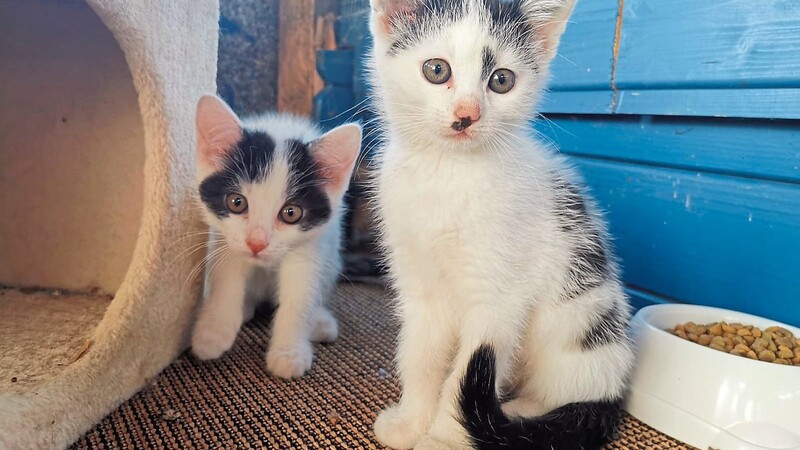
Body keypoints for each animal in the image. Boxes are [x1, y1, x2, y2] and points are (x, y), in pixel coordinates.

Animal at [189, 96, 360, 380]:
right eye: (236, 202)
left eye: (291, 213)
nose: (257, 243)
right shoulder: (225, 240)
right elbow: (226, 279)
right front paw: (213, 332)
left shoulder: (310, 246)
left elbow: (299, 296)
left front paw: (289, 352)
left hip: (331, 259)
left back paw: (320, 322)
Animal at [366, 0, 636, 450]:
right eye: (436, 70)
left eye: (502, 80)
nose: (467, 114)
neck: (447, 174)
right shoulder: (418, 282)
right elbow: (420, 353)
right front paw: (412, 420)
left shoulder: (500, 299)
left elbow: (463, 375)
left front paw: (444, 438)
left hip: (580, 324)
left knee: (568, 391)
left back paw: (516, 415)